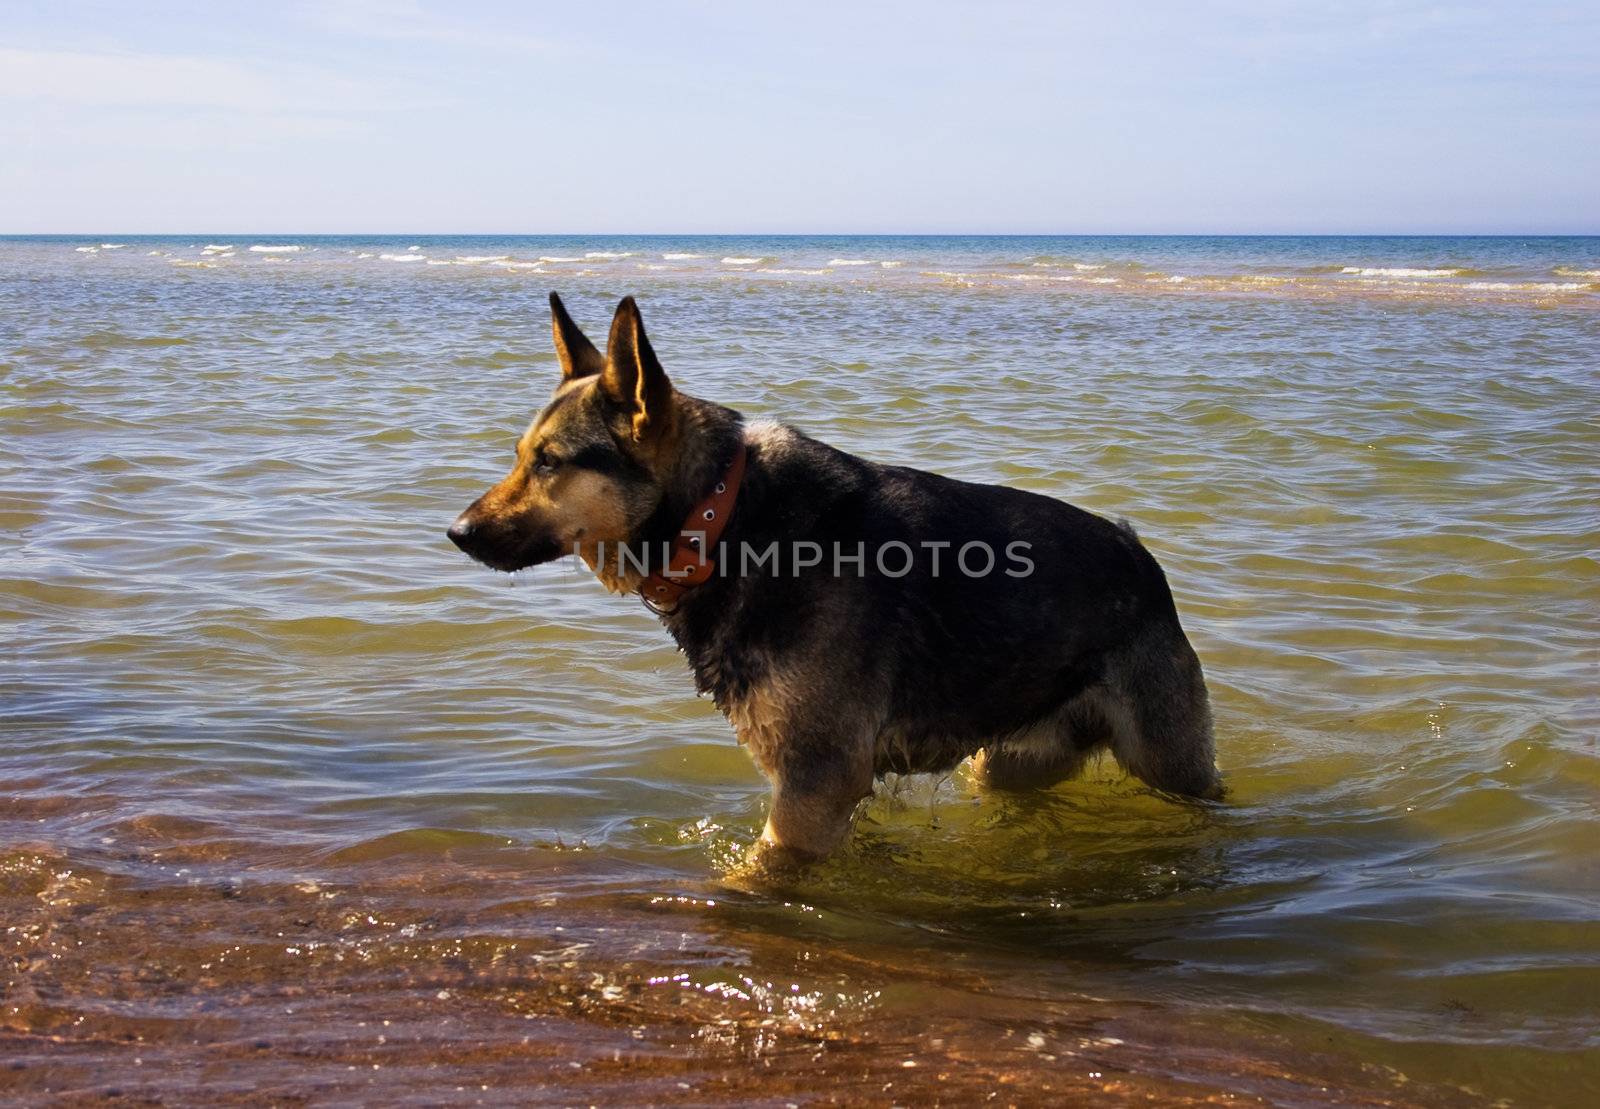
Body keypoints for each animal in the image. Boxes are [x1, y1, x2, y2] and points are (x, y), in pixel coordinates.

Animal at [444, 294, 1216, 864]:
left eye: (549, 462)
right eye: (520, 455)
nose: (455, 532)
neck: (721, 520)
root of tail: (1139, 553)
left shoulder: (814, 786)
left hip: (1167, 761)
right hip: (1005, 764)